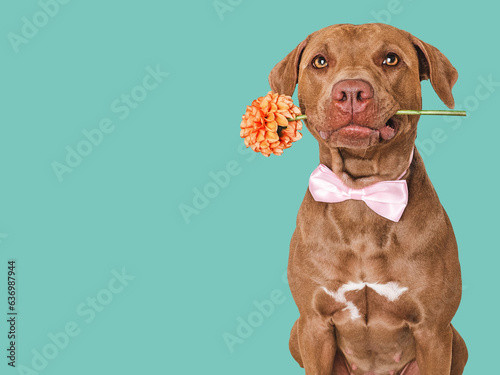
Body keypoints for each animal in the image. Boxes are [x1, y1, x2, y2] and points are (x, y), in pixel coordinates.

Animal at [270, 24, 468, 375]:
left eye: (391, 59)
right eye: (320, 61)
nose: (351, 91)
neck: (362, 195)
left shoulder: (433, 331)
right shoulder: (313, 325)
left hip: (456, 341)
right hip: (296, 332)